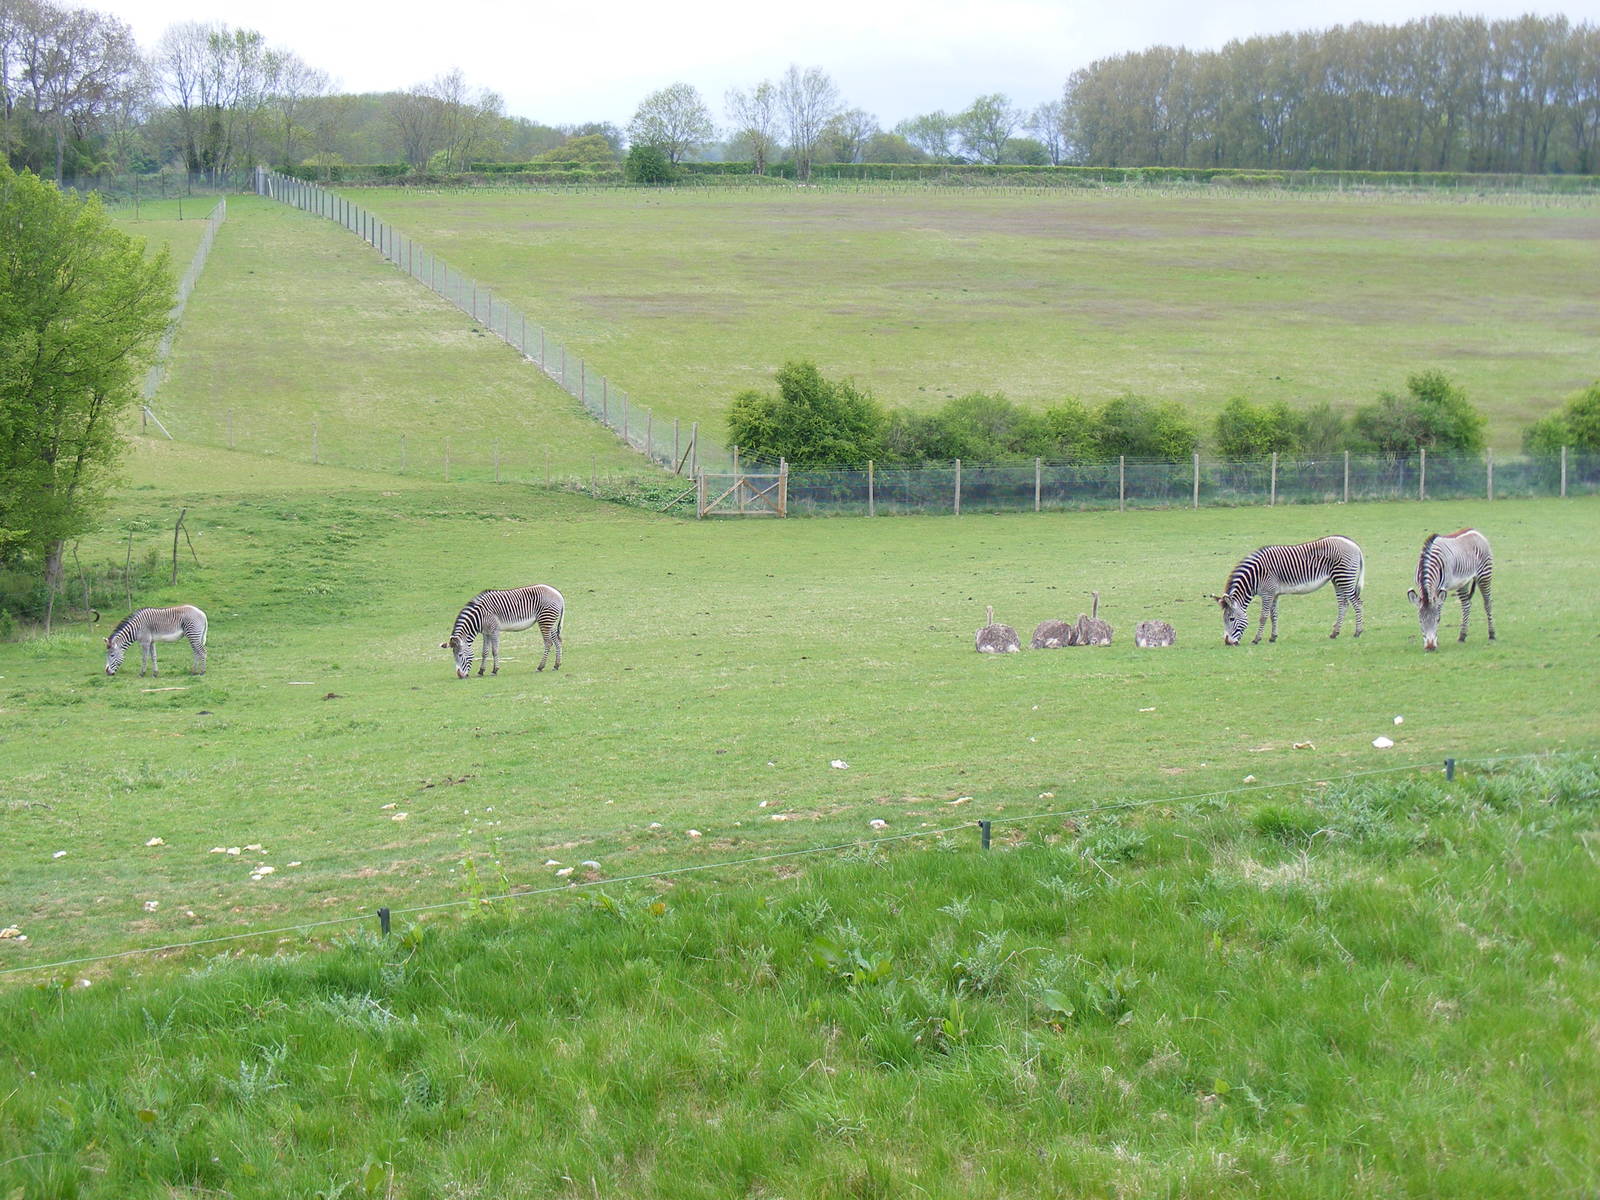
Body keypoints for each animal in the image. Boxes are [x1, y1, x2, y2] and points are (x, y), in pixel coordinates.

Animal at [1215, 536, 1365, 645]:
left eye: (1231, 618)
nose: (1227, 642)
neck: (1255, 577)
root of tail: (1354, 544)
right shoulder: (1274, 594)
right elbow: (1273, 615)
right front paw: (1273, 637)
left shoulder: (1267, 593)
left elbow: (1263, 617)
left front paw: (1257, 639)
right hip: (1337, 580)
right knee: (1343, 604)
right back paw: (1335, 633)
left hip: (1344, 578)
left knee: (1357, 603)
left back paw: (1358, 632)